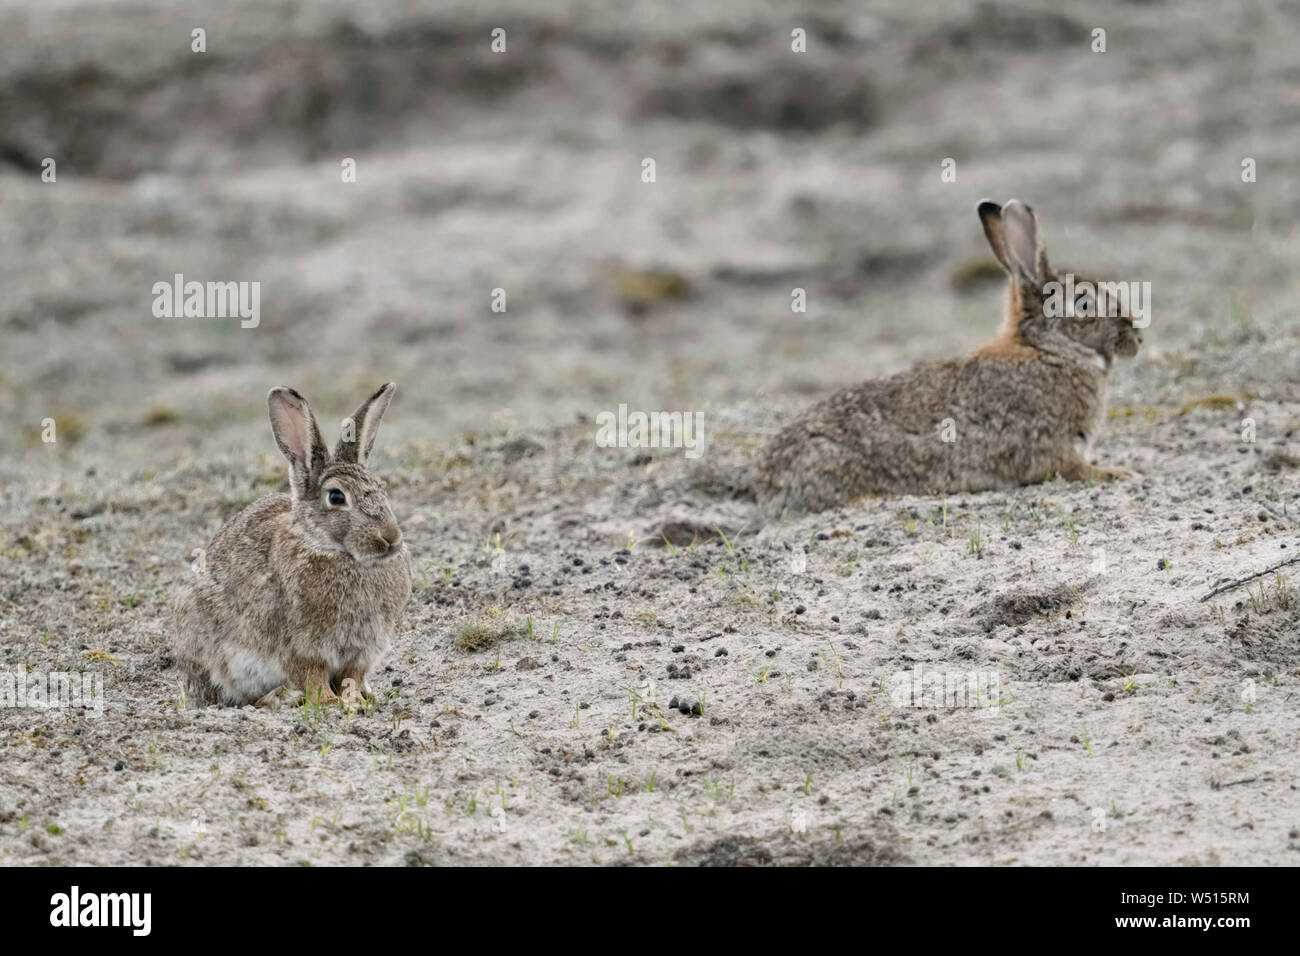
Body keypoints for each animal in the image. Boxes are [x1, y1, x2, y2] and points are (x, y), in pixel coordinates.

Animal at [170, 382, 408, 712]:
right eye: (336, 497)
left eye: (382, 489)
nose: (391, 538)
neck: (336, 551)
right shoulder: (302, 647)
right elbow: (313, 677)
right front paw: (329, 703)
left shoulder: (363, 649)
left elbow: (352, 678)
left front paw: (355, 702)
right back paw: (279, 696)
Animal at [759, 197, 1144, 520]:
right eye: (1084, 304)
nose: (1137, 337)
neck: (1047, 349)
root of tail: (764, 486)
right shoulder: (1048, 442)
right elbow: (1072, 469)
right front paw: (1119, 473)